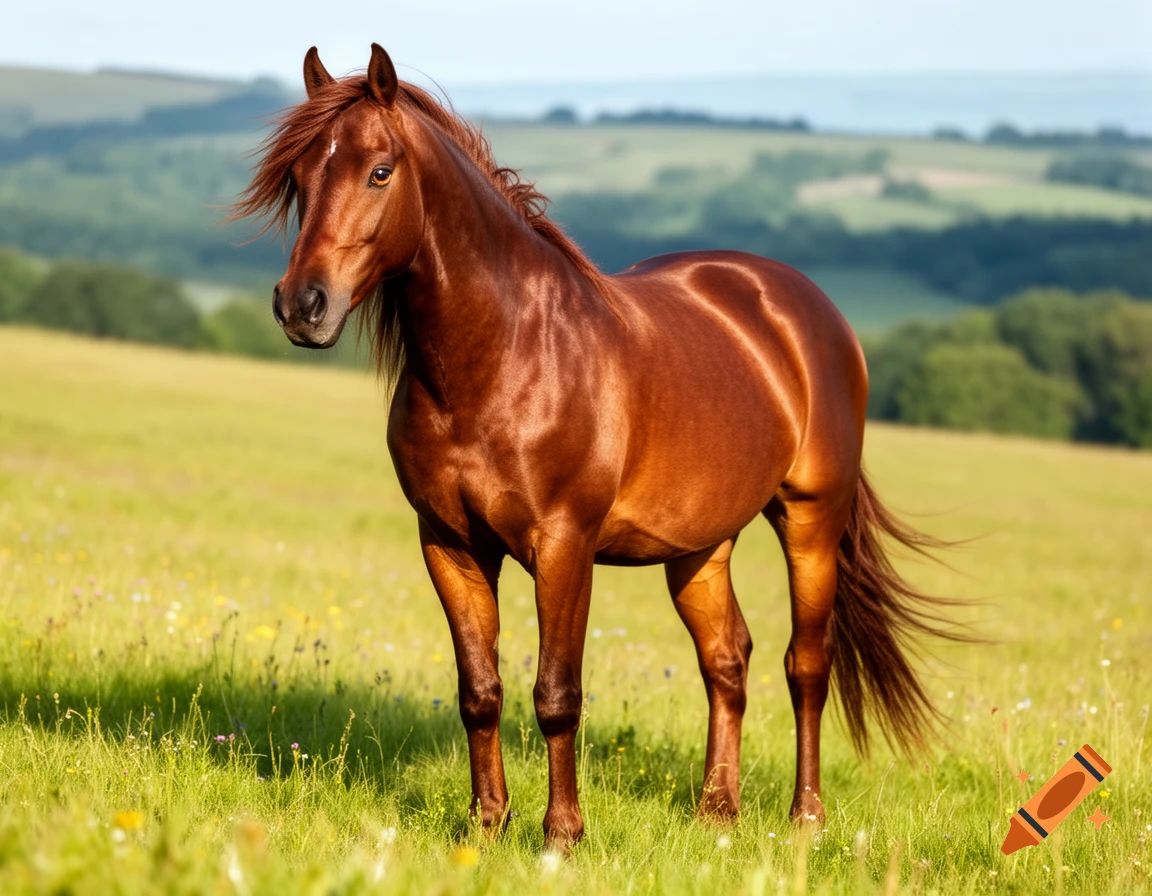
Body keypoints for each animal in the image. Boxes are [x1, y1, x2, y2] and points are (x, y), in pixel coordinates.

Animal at [232, 43, 961, 851]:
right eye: (299, 178)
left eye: (380, 171)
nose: (303, 305)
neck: (503, 357)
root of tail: (806, 309)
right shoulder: (450, 544)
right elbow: (479, 691)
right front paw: (486, 826)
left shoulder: (564, 545)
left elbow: (557, 694)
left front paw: (562, 835)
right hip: (698, 546)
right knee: (726, 658)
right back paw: (717, 810)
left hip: (810, 519)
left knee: (805, 664)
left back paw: (805, 817)